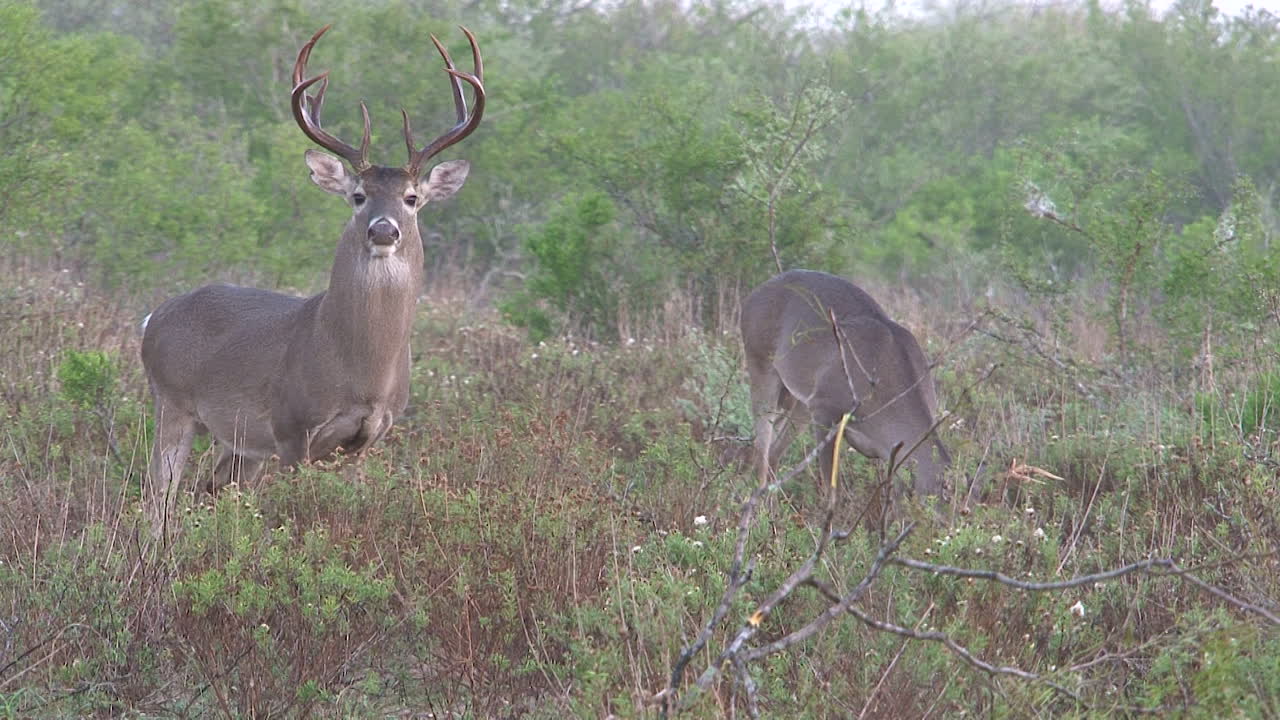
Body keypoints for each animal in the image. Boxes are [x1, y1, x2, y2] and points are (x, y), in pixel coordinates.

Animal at [140, 24, 484, 537]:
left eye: (412, 197)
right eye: (358, 195)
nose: (384, 230)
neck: (361, 369)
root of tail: (153, 318)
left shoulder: (367, 437)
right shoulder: (292, 427)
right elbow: (297, 514)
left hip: (238, 439)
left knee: (210, 488)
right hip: (173, 401)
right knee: (158, 495)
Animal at [740, 269, 951, 511]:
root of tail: (753, 295)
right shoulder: (826, 410)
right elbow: (833, 492)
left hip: (799, 399)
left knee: (774, 451)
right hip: (760, 363)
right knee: (761, 450)